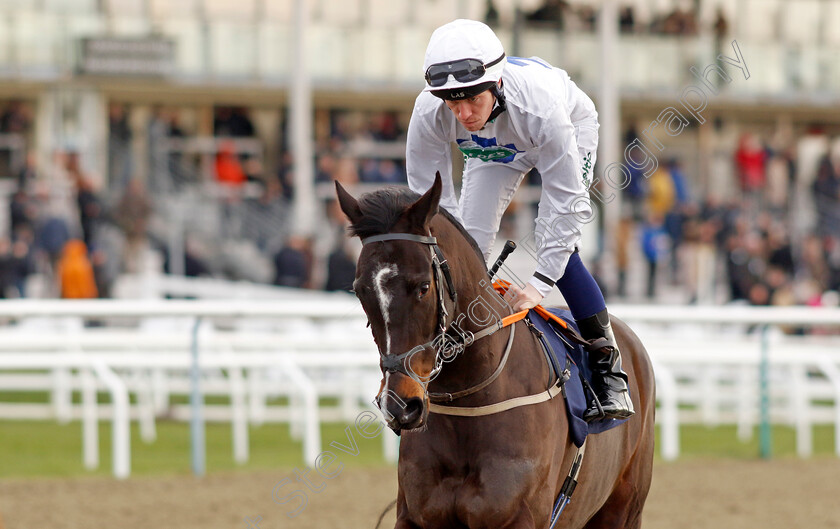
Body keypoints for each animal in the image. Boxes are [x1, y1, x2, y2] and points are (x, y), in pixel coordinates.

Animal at [334, 175, 656, 524]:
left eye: (423, 287)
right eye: (360, 291)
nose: (400, 405)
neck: (471, 407)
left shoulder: (521, 518)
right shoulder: (414, 517)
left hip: (624, 509)